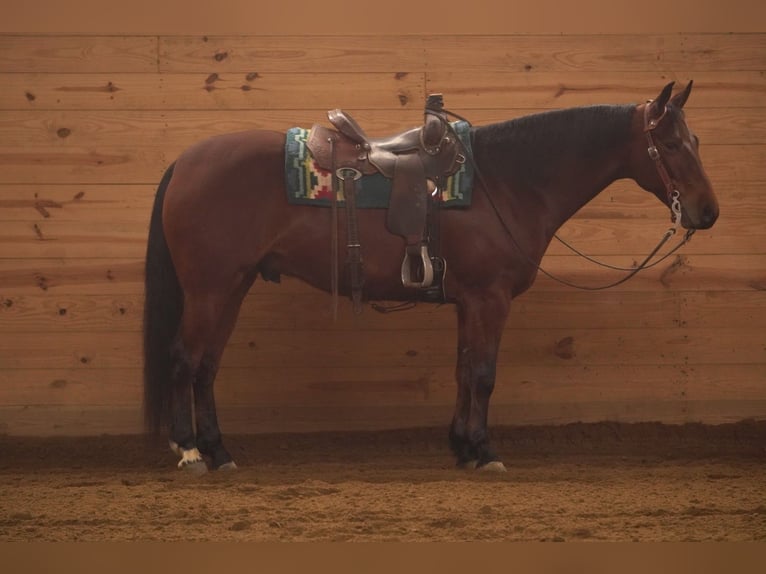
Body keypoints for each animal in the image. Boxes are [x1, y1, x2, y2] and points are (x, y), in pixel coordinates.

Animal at [143, 81, 718, 472]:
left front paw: (462, 446)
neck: (507, 180)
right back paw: (190, 451)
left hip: (231, 287)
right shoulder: (490, 299)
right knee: (185, 359)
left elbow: (464, 372)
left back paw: (218, 450)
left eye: (696, 138)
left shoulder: (469, 302)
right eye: (670, 145)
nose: (707, 212)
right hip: (210, 289)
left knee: (206, 366)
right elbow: (483, 374)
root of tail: (185, 162)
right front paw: (484, 450)